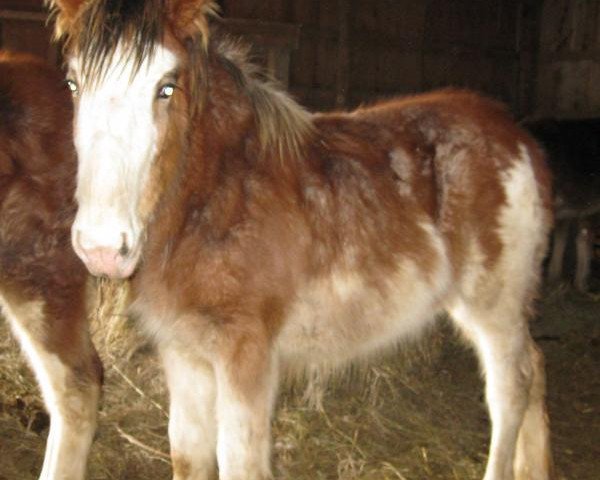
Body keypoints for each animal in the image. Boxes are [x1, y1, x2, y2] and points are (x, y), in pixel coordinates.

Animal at [49, 0, 556, 480]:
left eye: (166, 87)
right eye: (72, 84)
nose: (101, 249)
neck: (221, 194)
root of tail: (519, 139)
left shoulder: (246, 356)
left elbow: (239, 462)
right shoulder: (184, 353)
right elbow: (188, 457)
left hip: (493, 306)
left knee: (511, 388)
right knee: (534, 370)